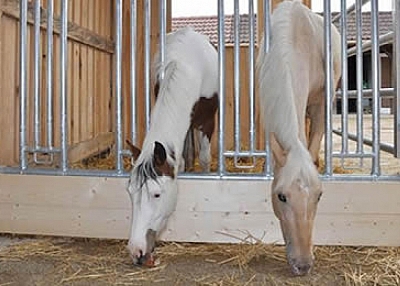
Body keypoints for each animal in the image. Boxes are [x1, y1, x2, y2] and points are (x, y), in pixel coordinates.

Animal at [126, 27, 219, 266]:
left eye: (157, 195)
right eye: (130, 192)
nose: (137, 251)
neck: (185, 64)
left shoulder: (207, 122)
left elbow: (204, 158)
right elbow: (182, 161)